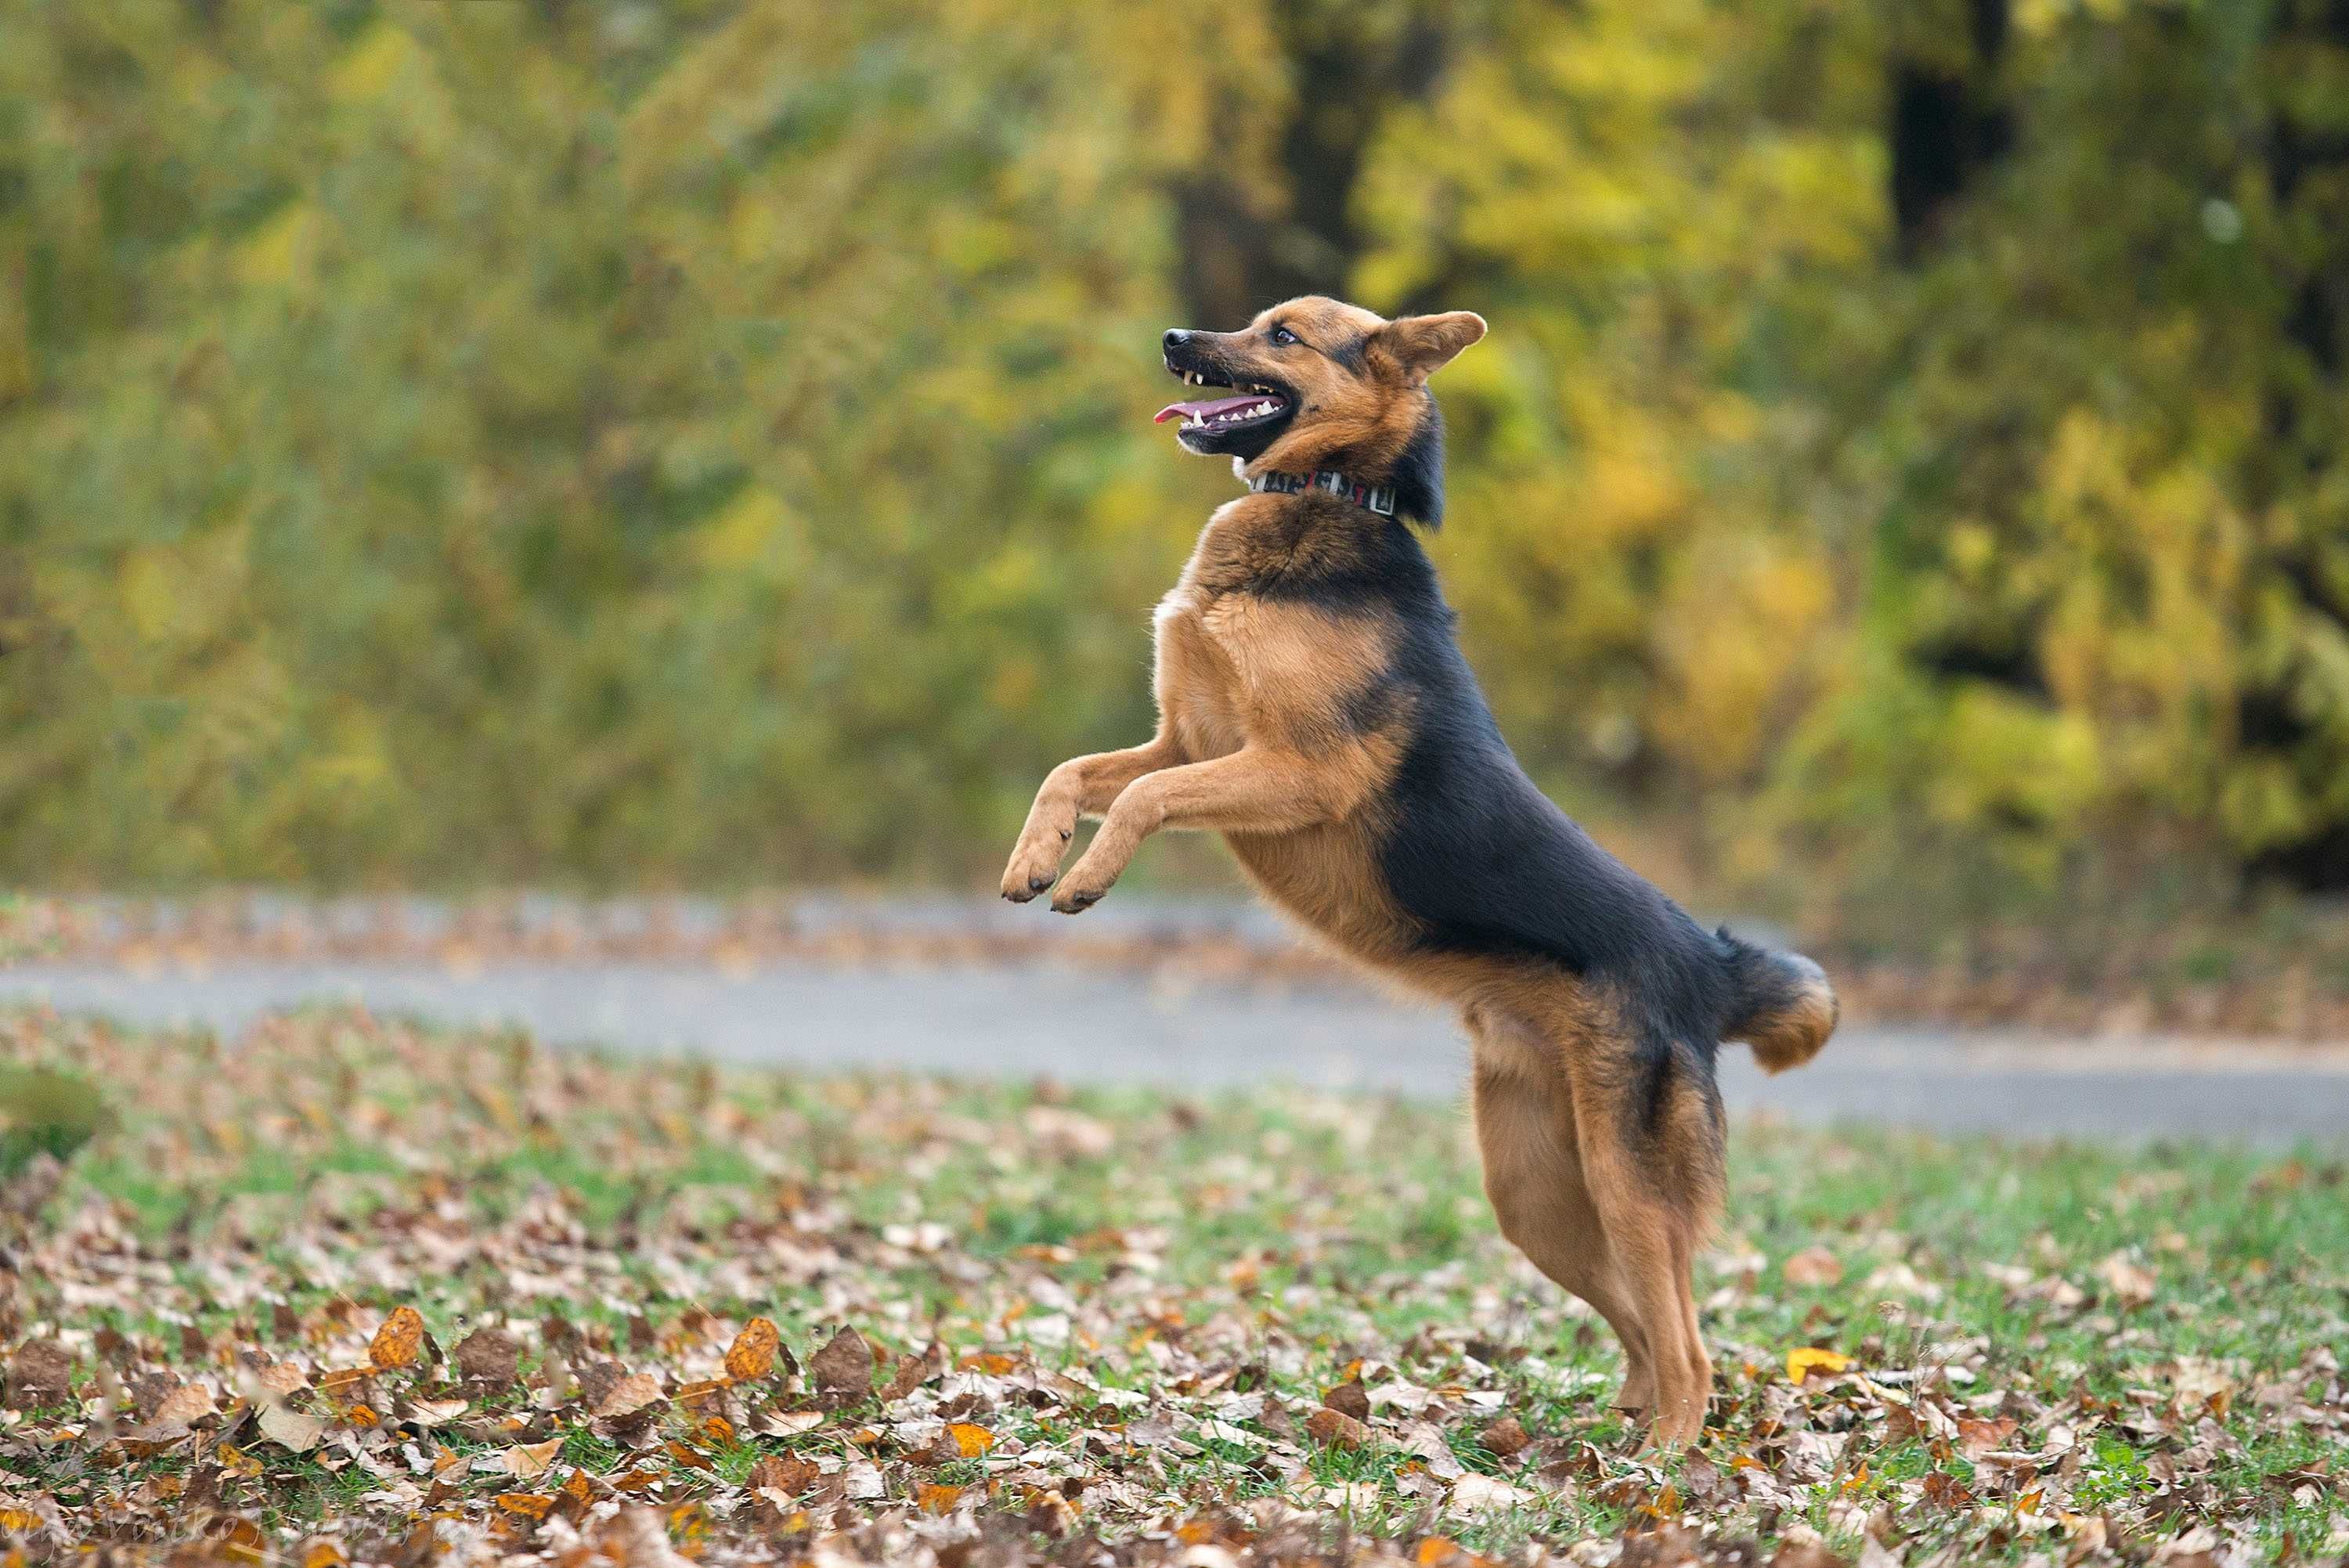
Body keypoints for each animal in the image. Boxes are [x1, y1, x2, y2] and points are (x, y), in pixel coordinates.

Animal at [991, 297, 1832, 1446]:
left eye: (1284, 335)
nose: (1173, 340)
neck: (1333, 492)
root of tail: (1709, 964)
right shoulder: (1184, 739)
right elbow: (1073, 774)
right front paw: (1034, 860)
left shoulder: (1288, 770)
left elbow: (1140, 800)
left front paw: (1087, 879)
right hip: (1533, 1192)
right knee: (1641, 1319)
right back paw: (1620, 1421)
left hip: (1625, 1178)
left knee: (1692, 1342)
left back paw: (1661, 1457)